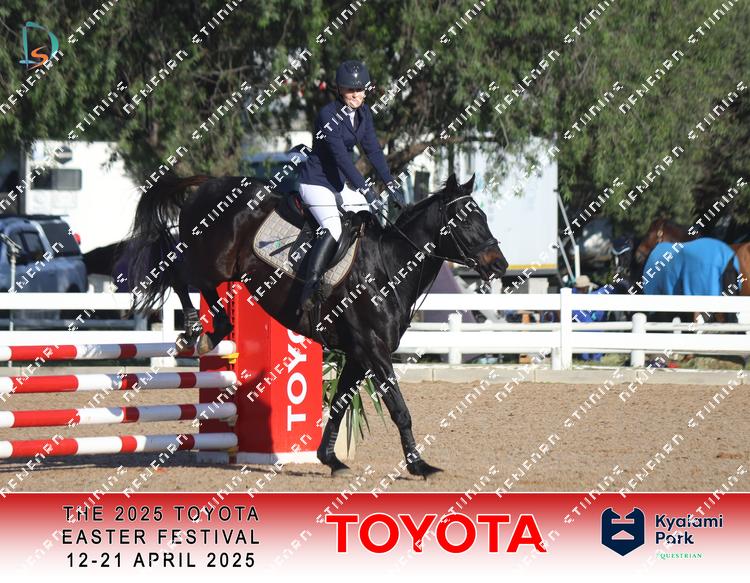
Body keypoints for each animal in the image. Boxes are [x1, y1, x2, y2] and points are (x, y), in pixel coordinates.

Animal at [127, 172, 508, 478]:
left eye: (484, 217)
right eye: (465, 220)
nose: (499, 265)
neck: (388, 268)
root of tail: (208, 183)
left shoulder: (358, 355)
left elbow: (339, 405)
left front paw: (331, 459)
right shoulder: (375, 350)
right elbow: (400, 409)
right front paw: (418, 465)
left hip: (223, 269)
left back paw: (212, 331)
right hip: (211, 262)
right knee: (178, 272)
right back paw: (196, 327)